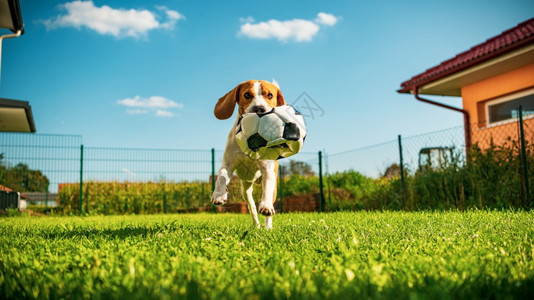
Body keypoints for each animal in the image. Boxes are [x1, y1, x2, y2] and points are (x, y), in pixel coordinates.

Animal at [214, 78, 288, 229]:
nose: (259, 108)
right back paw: (255, 224)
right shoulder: (228, 165)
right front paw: (218, 195)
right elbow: (221, 177)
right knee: (251, 206)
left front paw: (266, 207)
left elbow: (267, 191)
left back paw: (268, 226)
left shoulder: (267, 170)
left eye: (270, 95)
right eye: (247, 95)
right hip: (245, 190)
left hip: (274, 187)